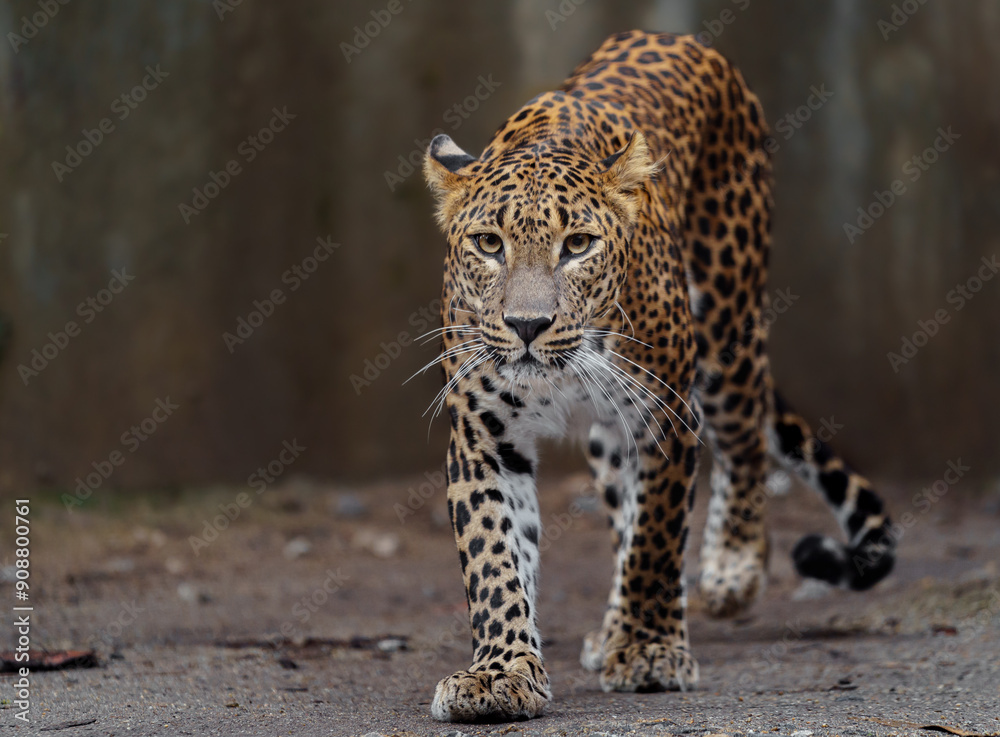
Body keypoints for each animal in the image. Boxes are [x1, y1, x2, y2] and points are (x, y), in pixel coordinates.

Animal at [420, 30, 895, 723]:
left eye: (578, 244)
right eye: (488, 243)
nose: (528, 325)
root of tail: (679, 38)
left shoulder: (663, 413)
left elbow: (656, 536)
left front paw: (649, 651)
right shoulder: (484, 432)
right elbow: (494, 555)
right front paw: (500, 673)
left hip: (728, 329)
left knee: (744, 441)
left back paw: (732, 569)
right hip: (611, 432)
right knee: (624, 502)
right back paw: (612, 628)